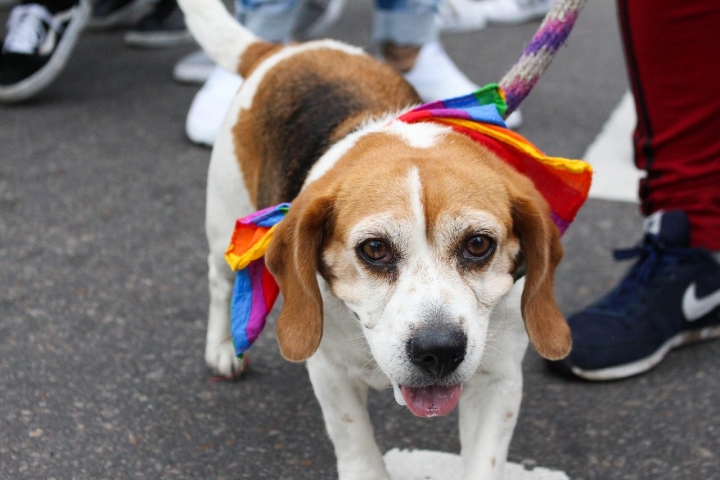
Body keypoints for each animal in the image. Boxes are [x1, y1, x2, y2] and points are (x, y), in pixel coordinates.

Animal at [180, 1, 572, 478]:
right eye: (375, 249)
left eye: (479, 244)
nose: (439, 350)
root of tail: (283, 50)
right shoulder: (330, 371)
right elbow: (357, 447)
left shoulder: (499, 380)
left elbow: (484, 461)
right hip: (224, 218)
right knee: (220, 281)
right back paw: (222, 348)